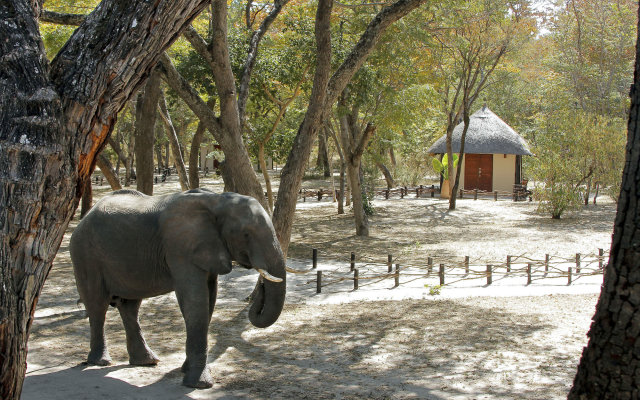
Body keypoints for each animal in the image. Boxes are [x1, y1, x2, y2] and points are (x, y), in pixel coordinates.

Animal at [69, 189, 286, 390]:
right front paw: (199, 384)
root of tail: (85, 217)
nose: (261, 288)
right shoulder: (181, 248)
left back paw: (147, 361)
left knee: (130, 307)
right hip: (84, 255)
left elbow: (209, 301)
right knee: (97, 305)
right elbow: (195, 302)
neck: (216, 200)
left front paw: (186, 370)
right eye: (246, 234)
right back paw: (100, 361)